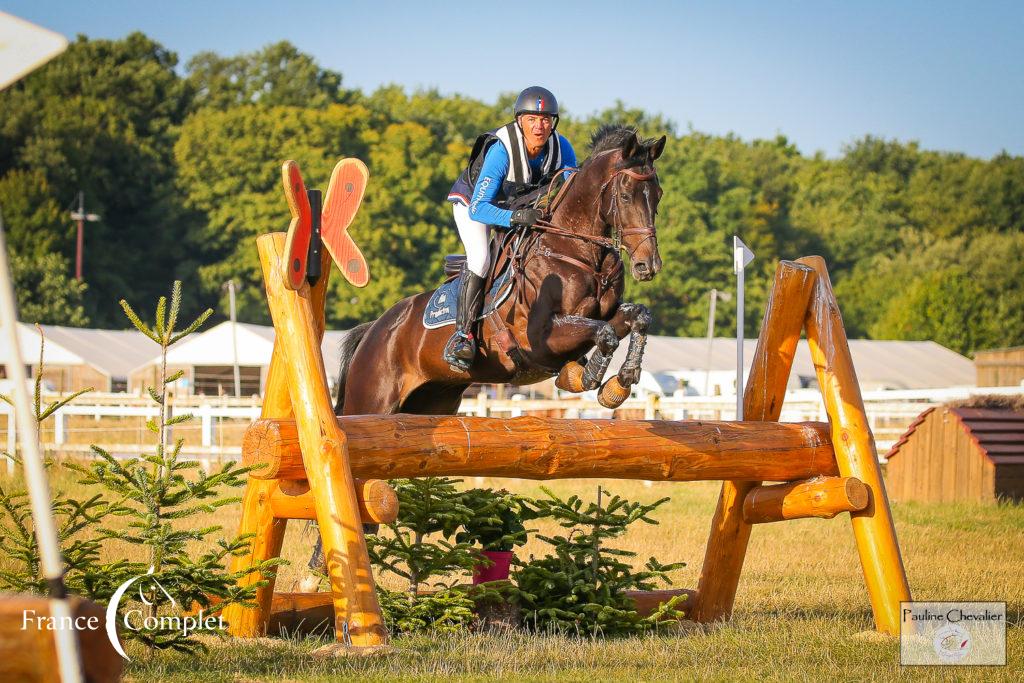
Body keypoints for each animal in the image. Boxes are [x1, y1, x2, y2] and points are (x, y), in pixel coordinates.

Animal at [333, 125, 663, 419]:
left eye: (658, 195)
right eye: (625, 196)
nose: (648, 265)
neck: (578, 252)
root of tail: (374, 329)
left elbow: (637, 316)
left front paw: (622, 380)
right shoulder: (539, 339)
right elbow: (604, 332)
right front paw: (587, 377)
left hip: (433, 400)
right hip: (372, 400)